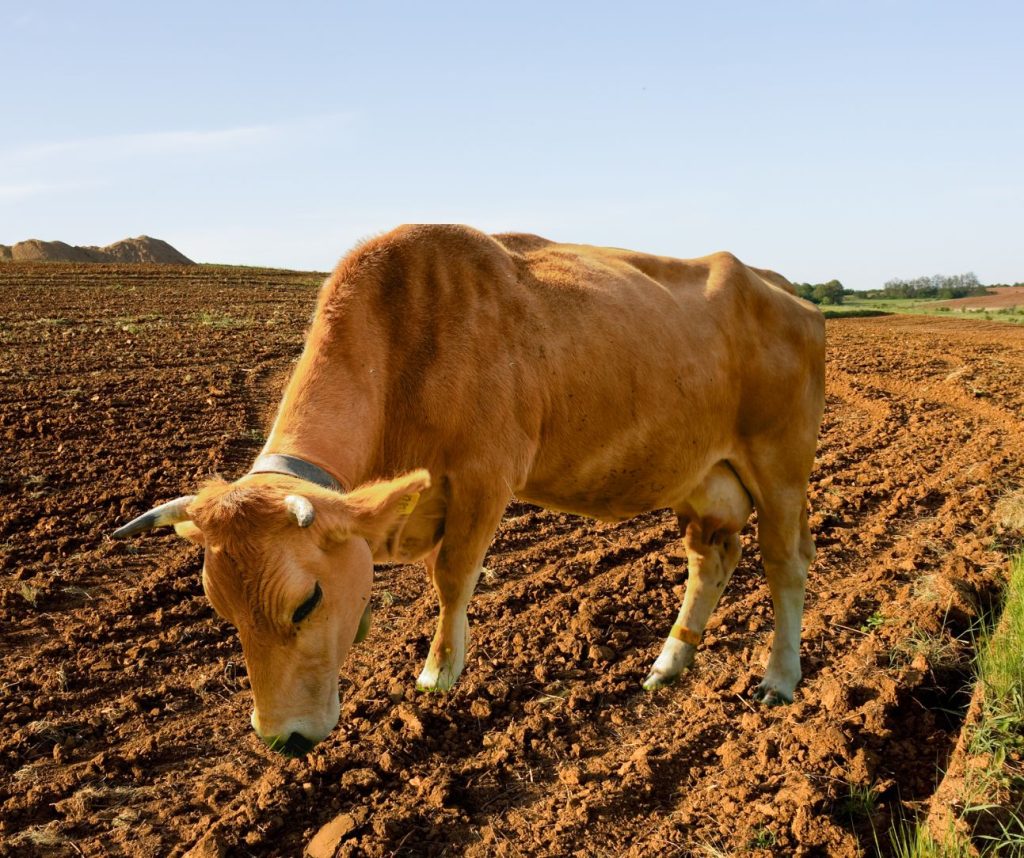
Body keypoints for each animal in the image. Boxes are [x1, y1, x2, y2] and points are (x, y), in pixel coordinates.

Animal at [113, 224, 825, 757]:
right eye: (221, 608)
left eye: (306, 601)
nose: (280, 738)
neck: (405, 345)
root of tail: (783, 289)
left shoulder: (486, 476)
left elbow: (452, 577)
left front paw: (438, 675)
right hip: (703, 478)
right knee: (711, 559)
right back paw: (670, 661)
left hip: (782, 467)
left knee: (786, 564)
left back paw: (780, 678)